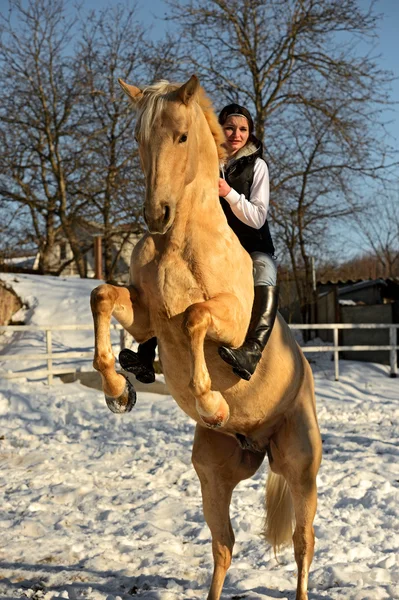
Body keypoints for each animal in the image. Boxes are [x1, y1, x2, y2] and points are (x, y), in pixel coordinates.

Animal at [90, 75, 322, 600]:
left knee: (303, 543)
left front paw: (213, 402)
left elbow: (195, 318)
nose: (157, 215)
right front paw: (119, 391)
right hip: (215, 471)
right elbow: (103, 297)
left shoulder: (229, 318)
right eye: (139, 139)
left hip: (301, 466)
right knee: (223, 546)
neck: (178, 242)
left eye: (180, 136)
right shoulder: (145, 319)